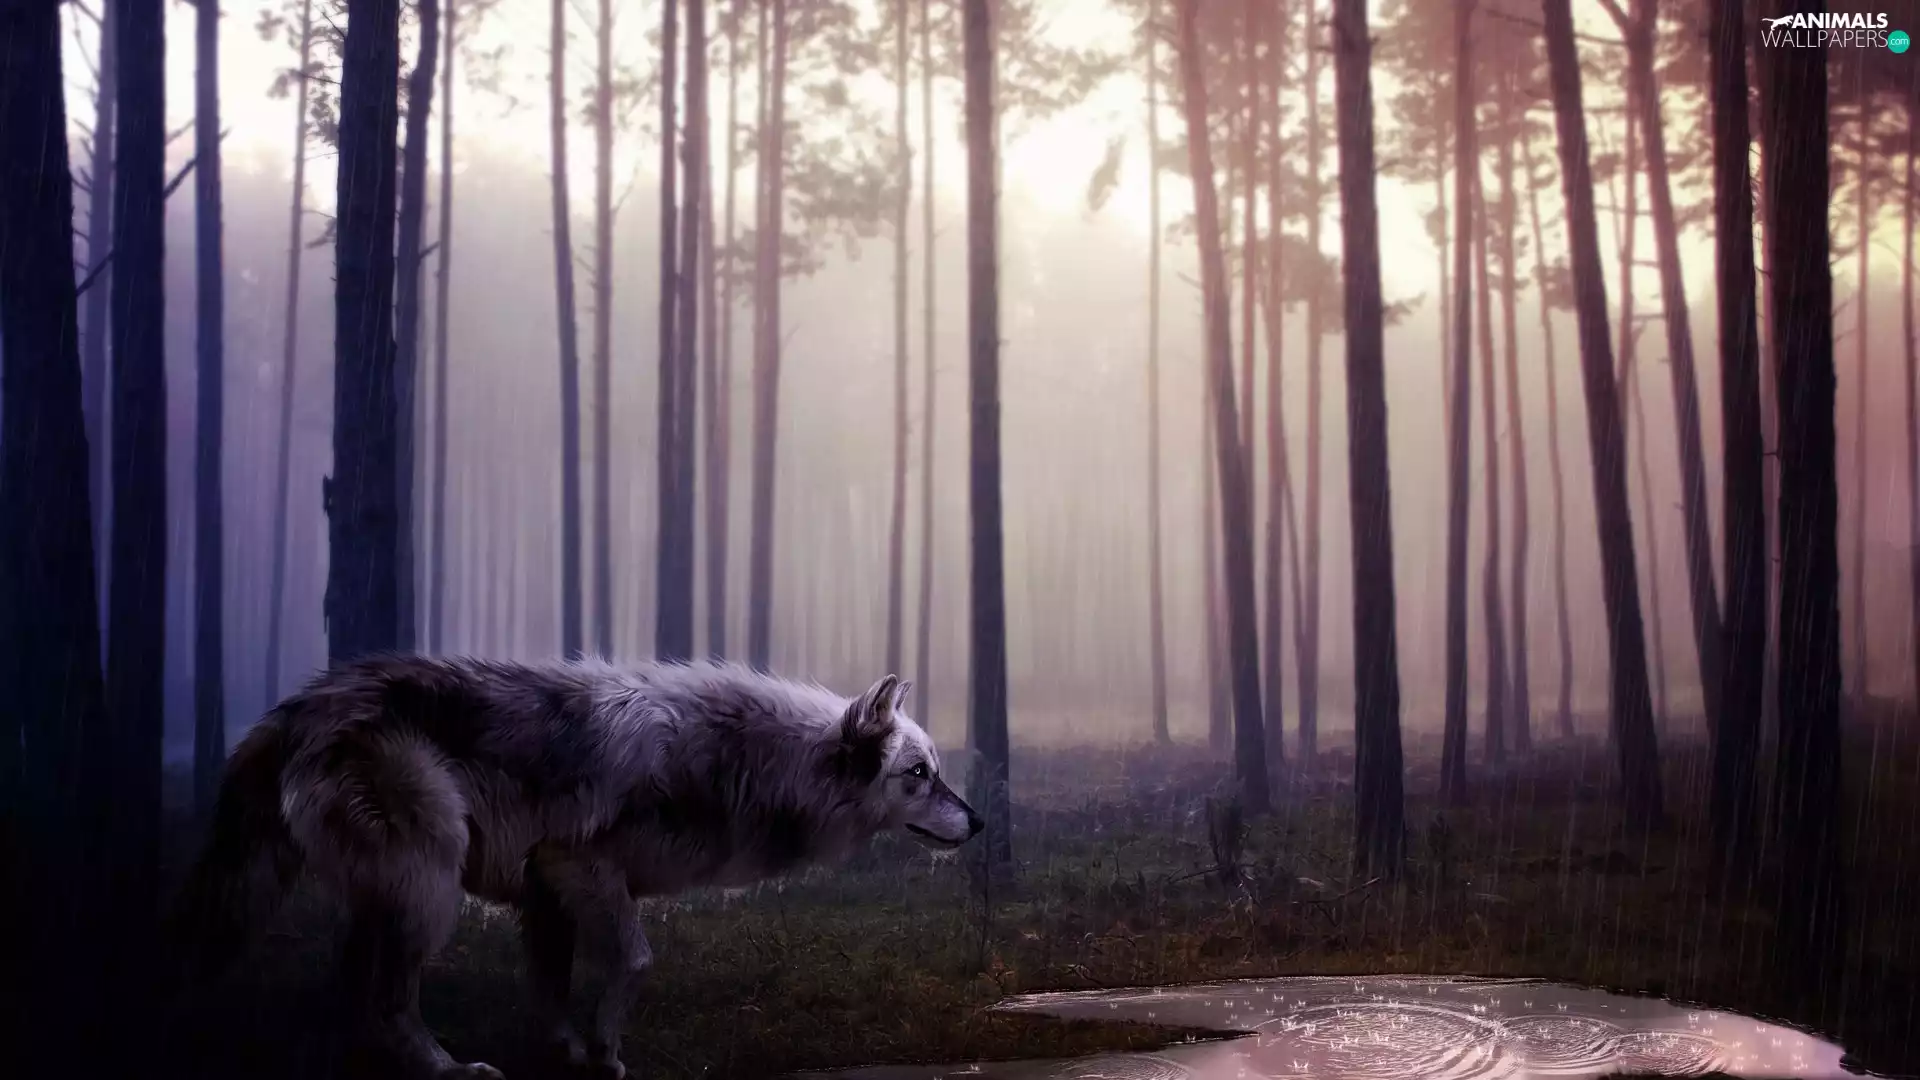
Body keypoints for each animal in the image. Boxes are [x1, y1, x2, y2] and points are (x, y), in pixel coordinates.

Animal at [168, 655, 983, 1080]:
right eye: (919, 775)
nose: (979, 822)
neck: (739, 762)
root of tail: (296, 707)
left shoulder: (544, 896)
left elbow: (551, 987)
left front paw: (565, 1049)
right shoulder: (577, 867)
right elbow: (636, 961)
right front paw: (606, 1052)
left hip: (394, 894)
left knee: (356, 992)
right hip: (428, 888)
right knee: (387, 1000)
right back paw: (449, 1071)